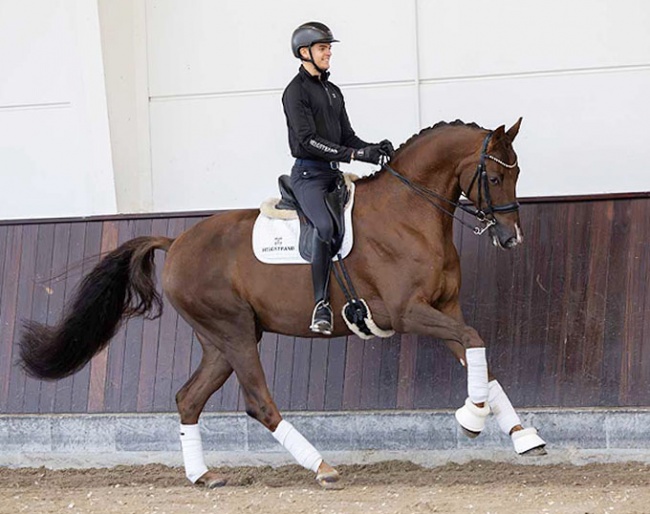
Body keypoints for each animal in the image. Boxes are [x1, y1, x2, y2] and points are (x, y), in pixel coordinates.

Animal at [20, 118, 540, 486]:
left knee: (189, 398)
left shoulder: (445, 309)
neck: (409, 214)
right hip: (232, 332)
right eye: (496, 177)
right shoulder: (408, 313)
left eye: (517, 173)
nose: (512, 237)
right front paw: (472, 418)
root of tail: (178, 241)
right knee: (258, 403)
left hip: (222, 340)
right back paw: (322, 467)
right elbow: (474, 340)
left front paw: (523, 437)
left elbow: (478, 352)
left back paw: (203, 476)